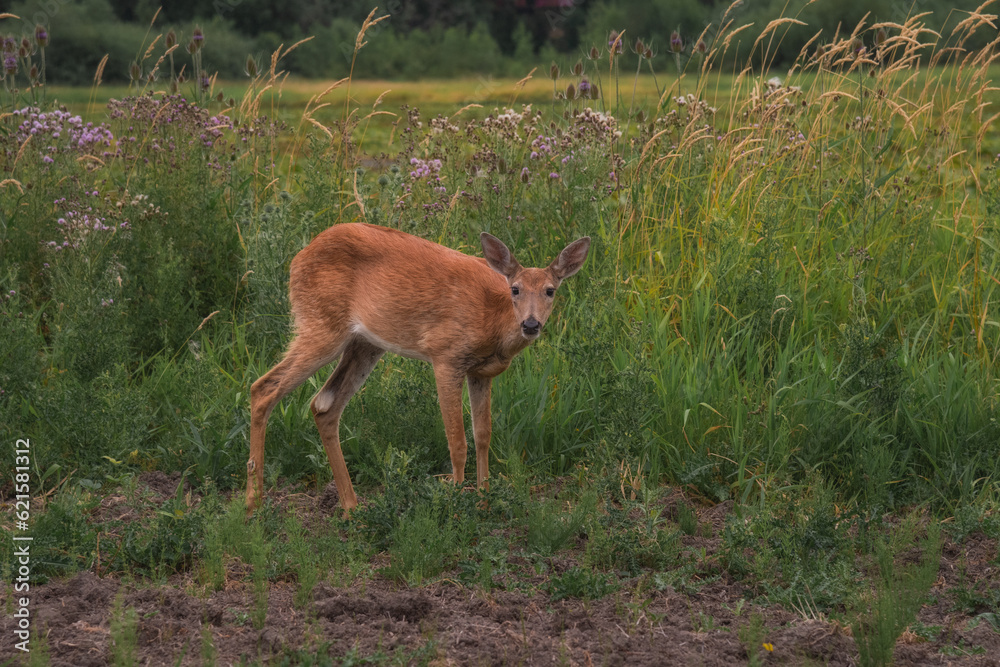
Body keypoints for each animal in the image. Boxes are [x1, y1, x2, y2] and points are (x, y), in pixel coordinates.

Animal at [247, 222, 588, 516]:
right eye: (515, 289)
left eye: (550, 291)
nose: (531, 324)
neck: (494, 319)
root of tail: (298, 258)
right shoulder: (446, 356)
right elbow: (457, 441)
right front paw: (456, 506)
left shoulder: (481, 373)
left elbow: (483, 435)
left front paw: (484, 502)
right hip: (321, 324)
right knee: (263, 388)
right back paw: (255, 504)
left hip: (365, 344)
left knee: (323, 405)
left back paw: (351, 507)